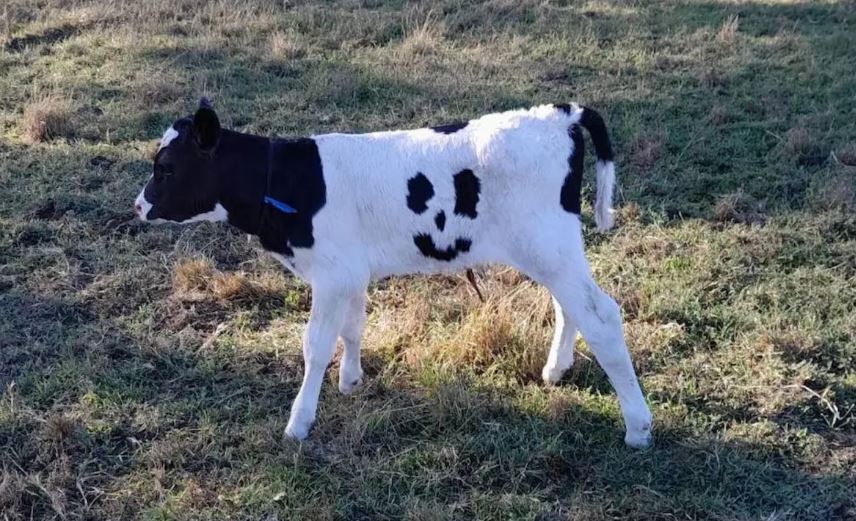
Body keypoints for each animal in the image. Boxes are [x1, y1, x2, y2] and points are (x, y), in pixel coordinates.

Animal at [134, 98, 652, 446]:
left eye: (167, 167)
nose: (138, 206)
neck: (286, 181)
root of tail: (560, 113)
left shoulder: (330, 274)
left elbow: (315, 346)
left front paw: (299, 422)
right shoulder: (350, 271)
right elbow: (352, 326)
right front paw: (351, 381)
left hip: (548, 246)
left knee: (602, 316)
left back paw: (638, 425)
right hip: (552, 251)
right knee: (573, 307)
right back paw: (556, 370)